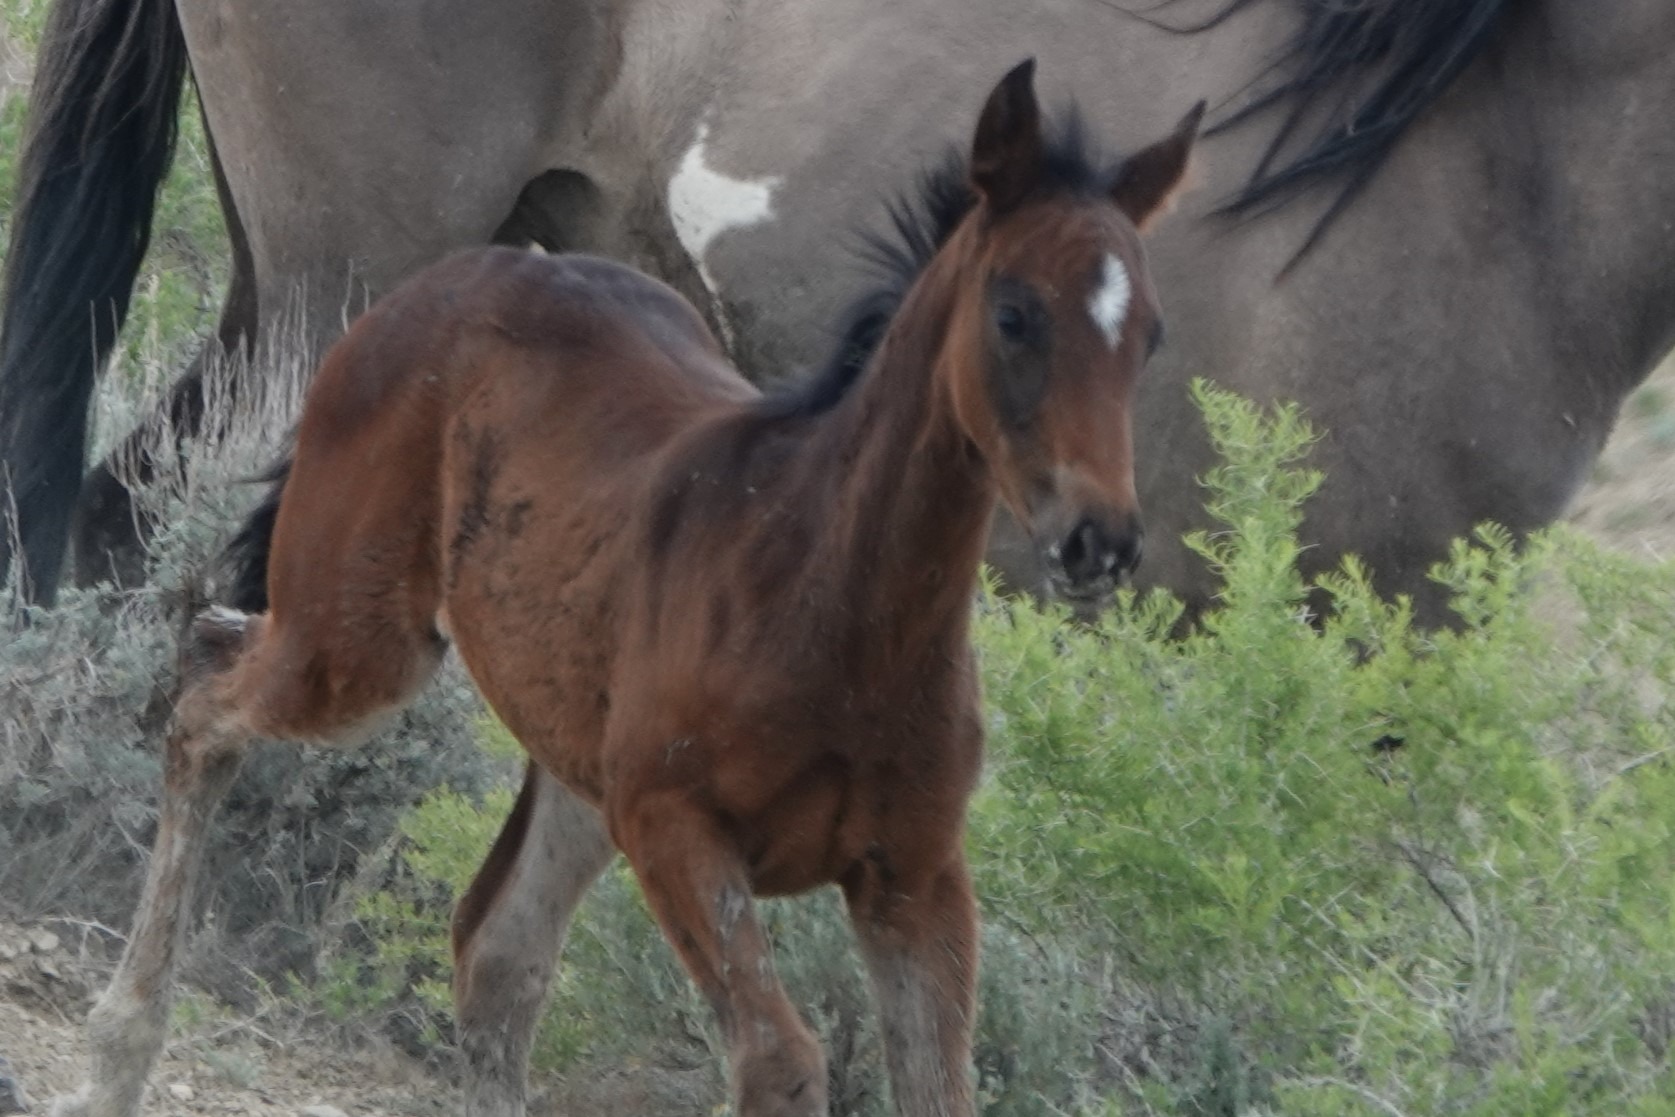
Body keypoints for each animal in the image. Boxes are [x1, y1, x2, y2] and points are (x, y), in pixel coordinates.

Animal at [45, 63, 1201, 1117]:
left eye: (1148, 332)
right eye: (1013, 315)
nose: (1099, 541)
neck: (834, 598)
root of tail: (445, 280)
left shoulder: (914, 876)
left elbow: (934, 1084)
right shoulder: (676, 828)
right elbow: (782, 1062)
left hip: (573, 752)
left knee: (496, 953)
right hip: (361, 643)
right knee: (206, 692)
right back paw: (115, 1055)